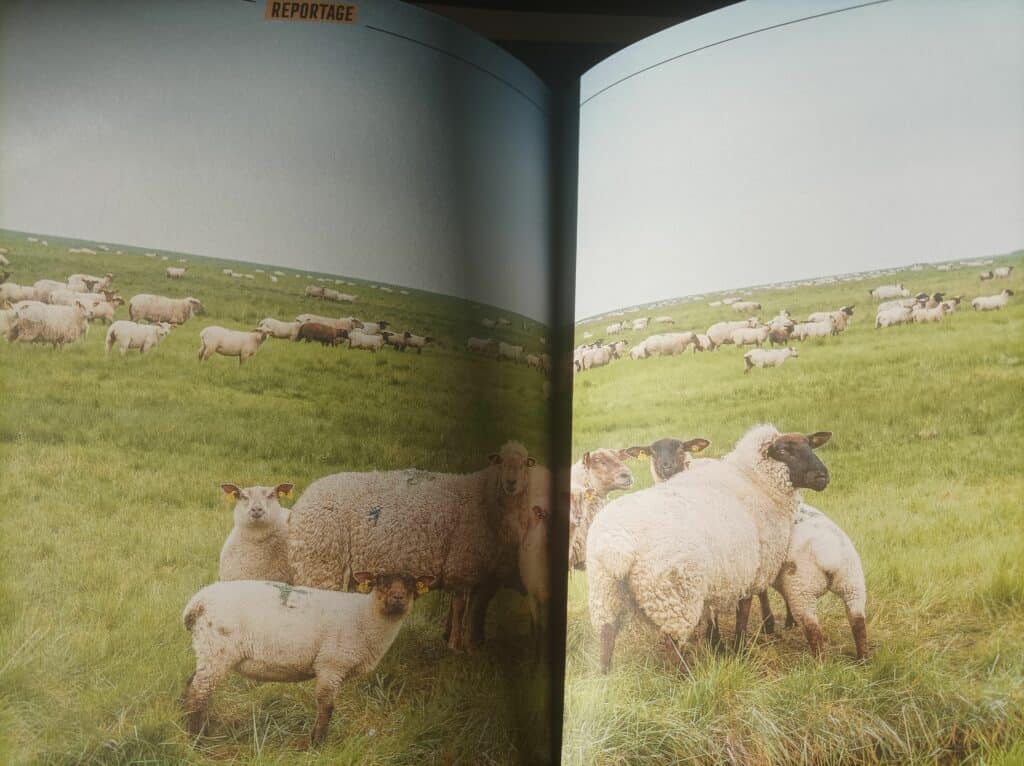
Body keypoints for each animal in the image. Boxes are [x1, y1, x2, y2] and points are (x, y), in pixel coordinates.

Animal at [182, 573, 434, 741]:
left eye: (411, 585)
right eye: (382, 582)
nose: (398, 598)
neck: (365, 618)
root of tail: (197, 601)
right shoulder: (331, 665)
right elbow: (327, 706)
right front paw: (318, 743)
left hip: (207, 649)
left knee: (193, 685)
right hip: (217, 649)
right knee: (198, 692)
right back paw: (197, 738)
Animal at [585, 428, 831, 671]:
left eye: (810, 445)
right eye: (783, 451)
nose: (822, 476)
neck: (756, 483)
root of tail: (617, 543)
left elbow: (714, 614)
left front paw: (719, 647)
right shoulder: (748, 571)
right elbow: (742, 613)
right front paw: (740, 650)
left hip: (605, 591)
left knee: (607, 635)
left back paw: (605, 675)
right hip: (673, 594)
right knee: (673, 642)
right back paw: (687, 676)